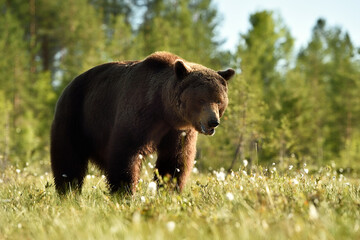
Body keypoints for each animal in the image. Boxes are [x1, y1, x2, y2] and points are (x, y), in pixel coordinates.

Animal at [50, 52, 235, 195]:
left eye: (219, 101)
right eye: (201, 99)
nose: (213, 122)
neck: (164, 110)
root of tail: (68, 85)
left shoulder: (178, 131)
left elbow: (175, 160)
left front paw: (169, 190)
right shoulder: (138, 115)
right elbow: (126, 153)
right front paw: (124, 192)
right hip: (76, 116)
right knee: (68, 159)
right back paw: (68, 192)